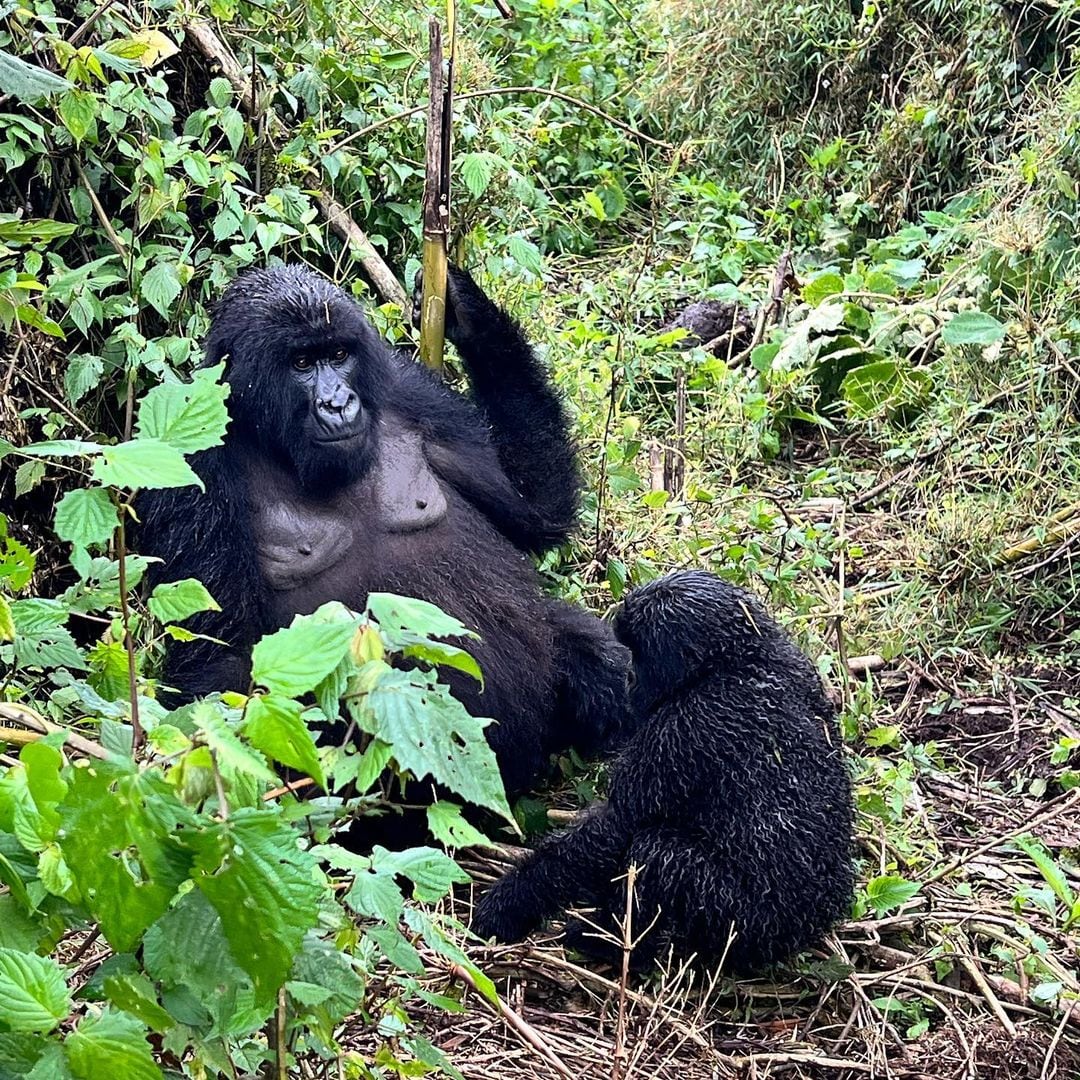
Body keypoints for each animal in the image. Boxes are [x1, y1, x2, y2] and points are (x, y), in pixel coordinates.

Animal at [137, 262, 626, 794]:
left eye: (338, 355)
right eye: (301, 363)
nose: (338, 402)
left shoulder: (412, 392)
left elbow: (535, 510)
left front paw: (466, 308)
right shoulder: (190, 463)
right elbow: (217, 660)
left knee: (598, 655)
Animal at [470, 570, 851, 976]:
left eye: (639, 654)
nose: (629, 678)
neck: (735, 660)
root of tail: (814, 925)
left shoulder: (681, 731)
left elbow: (616, 825)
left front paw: (511, 901)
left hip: (749, 926)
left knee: (658, 854)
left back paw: (616, 947)